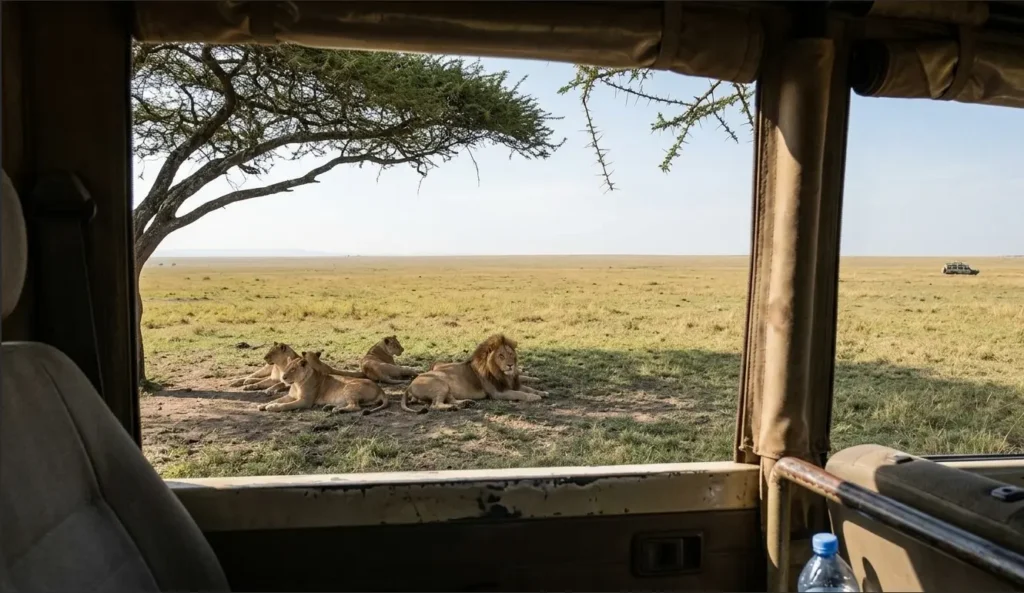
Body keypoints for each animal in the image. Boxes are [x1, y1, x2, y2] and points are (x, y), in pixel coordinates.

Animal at [258, 351, 388, 414]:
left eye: (293, 369)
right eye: (286, 367)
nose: (283, 377)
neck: (296, 384)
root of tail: (381, 390)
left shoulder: (305, 401)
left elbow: (286, 405)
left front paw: (273, 407)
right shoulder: (290, 396)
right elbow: (277, 399)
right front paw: (264, 405)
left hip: (349, 387)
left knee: (356, 407)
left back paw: (337, 410)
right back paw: (330, 407)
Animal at [402, 334, 548, 413]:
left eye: (511, 354)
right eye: (501, 356)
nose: (510, 365)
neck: (503, 374)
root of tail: (409, 385)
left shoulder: (513, 384)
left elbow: (528, 388)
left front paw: (542, 392)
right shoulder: (498, 393)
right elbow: (520, 393)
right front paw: (534, 397)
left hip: (446, 388)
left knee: (450, 399)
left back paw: (466, 403)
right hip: (440, 383)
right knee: (435, 405)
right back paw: (452, 408)